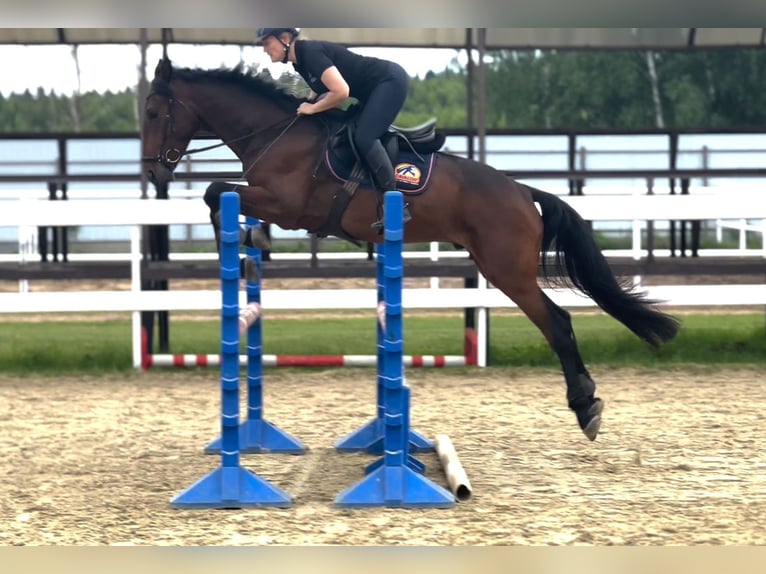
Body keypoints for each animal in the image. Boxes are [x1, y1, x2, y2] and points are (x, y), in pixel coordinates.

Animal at [141, 57, 681, 442]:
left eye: (152, 112)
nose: (153, 172)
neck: (276, 134)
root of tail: (521, 191)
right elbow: (218, 192)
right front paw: (250, 243)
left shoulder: (288, 206)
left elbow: (215, 191)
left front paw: (241, 242)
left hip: (508, 272)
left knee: (558, 323)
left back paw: (586, 406)